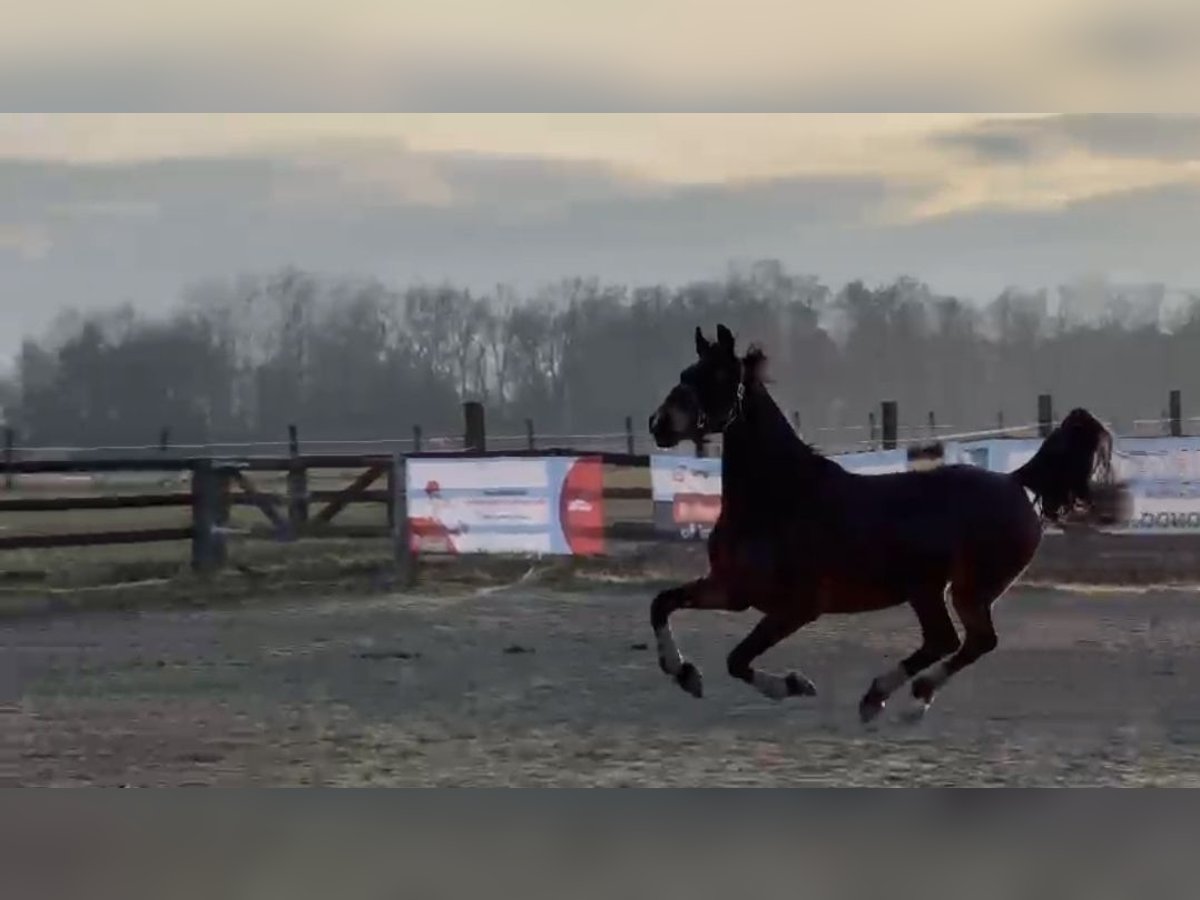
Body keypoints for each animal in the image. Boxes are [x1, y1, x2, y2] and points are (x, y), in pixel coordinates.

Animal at [648, 324, 1113, 724]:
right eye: (686, 373)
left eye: (721, 375)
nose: (659, 425)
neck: (781, 498)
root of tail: (1015, 481)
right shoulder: (732, 589)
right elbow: (662, 604)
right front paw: (684, 673)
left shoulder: (797, 607)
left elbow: (737, 659)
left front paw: (794, 685)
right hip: (934, 590)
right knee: (951, 641)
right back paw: (899, 697)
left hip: (961, 590)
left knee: (967, 641)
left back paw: (892, 698)